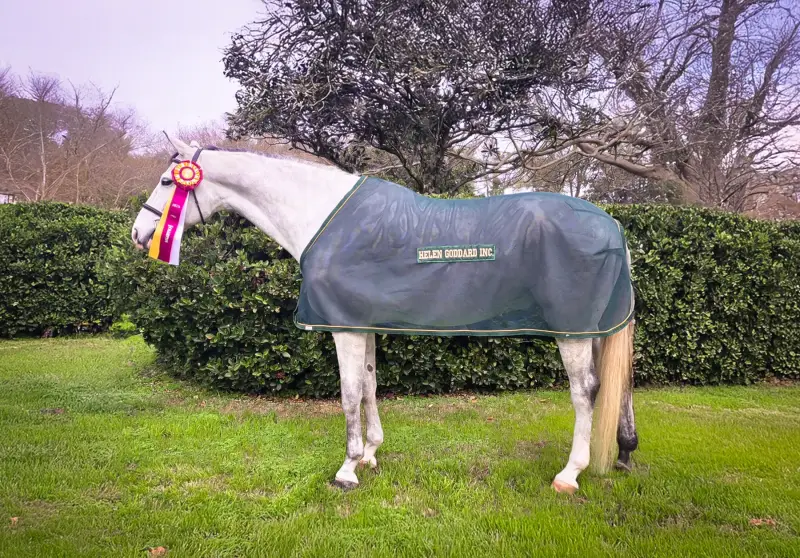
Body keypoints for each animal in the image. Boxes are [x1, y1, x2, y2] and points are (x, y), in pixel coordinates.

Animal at [130, 135, 638, 494]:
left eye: (167, 182)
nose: (138, 234)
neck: (322, 219)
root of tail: (611, 224)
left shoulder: (344, 327)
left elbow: (349, 393)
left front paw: (347, 468)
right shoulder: (363, 322)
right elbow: (371, 385)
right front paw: (371, 455)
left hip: (573, 331)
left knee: (586, 392)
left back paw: (570, 474)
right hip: (597, 327)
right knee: (620, 385)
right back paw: (625, 454)